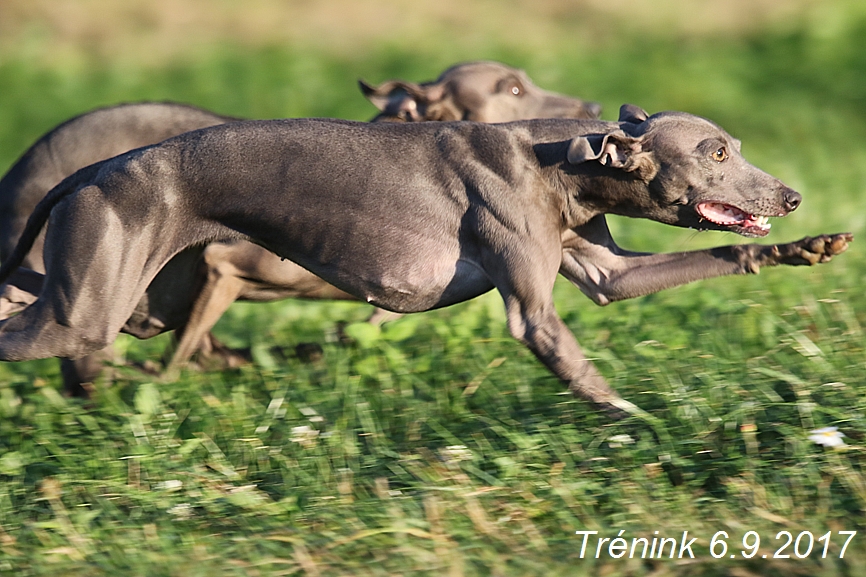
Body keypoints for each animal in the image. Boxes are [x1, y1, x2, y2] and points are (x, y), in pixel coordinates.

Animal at [0, 104, 852, 414]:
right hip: (92, 309)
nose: (793, 196)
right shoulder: (532, 313)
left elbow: (706, 257)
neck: (564, 163)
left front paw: (810, 248)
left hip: (136, 301)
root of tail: (91, 172)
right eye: (716, 152)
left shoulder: (605, 271)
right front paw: (644, 427)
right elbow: (582, 370)